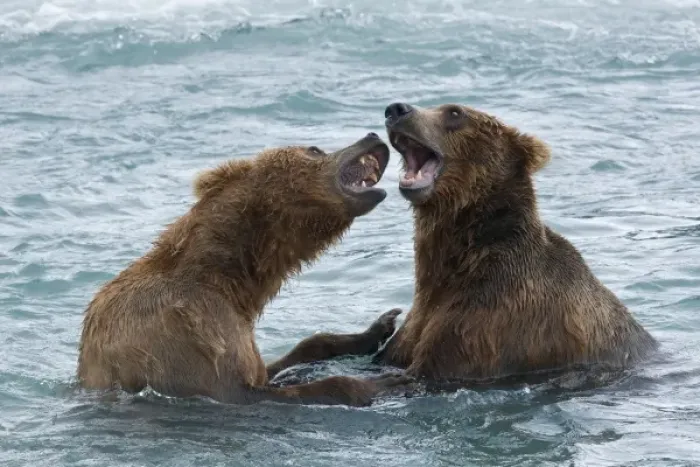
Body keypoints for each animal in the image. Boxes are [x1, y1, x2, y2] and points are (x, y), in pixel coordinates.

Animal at [77, 132, 410, 406]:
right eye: (315, 148)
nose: (372, 135)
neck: (226, 276)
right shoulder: (188, 331)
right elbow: (243, 391)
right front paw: (385, 382)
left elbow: (283, 360)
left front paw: (378, 327)